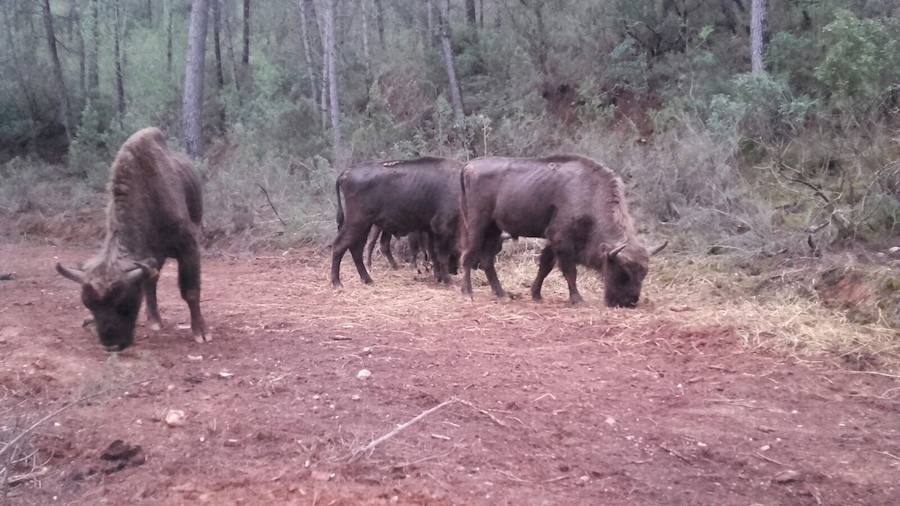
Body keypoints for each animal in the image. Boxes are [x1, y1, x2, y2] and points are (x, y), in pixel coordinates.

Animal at [56, 126, 209, 352]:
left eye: (124, 301)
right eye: (88, 304)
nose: (111, 345)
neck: (147, 197)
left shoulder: (188, 247)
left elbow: (190, 291)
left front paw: (201, 333)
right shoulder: (149, 258)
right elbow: (149, 284)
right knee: (152, 283)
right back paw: (154, 321)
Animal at [334, 156, 468, 286]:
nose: (454, 271)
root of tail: (347, 173)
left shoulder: (430, 231)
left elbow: (434, 254)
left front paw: (438, 277)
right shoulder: (442, 229)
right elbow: (441, 255)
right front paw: (447, 280)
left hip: (364, 226)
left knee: (357, 249)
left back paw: (367, 279)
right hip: (357, 223)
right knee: (340, 245)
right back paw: (337, 283)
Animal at [460, 154, 664, 306]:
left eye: (643, 274)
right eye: (622, 273)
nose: (629, 302)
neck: (590, 193)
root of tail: (469, 165)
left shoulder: (553, 240)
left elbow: (545, 266)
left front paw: (536, 295)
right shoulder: (562, 239)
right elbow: (569, 271)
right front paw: (578, 299)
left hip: (494, 229)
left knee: (487, 260)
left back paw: (501, 294)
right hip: (478, 225)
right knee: (469, 255)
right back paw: (468, 293)